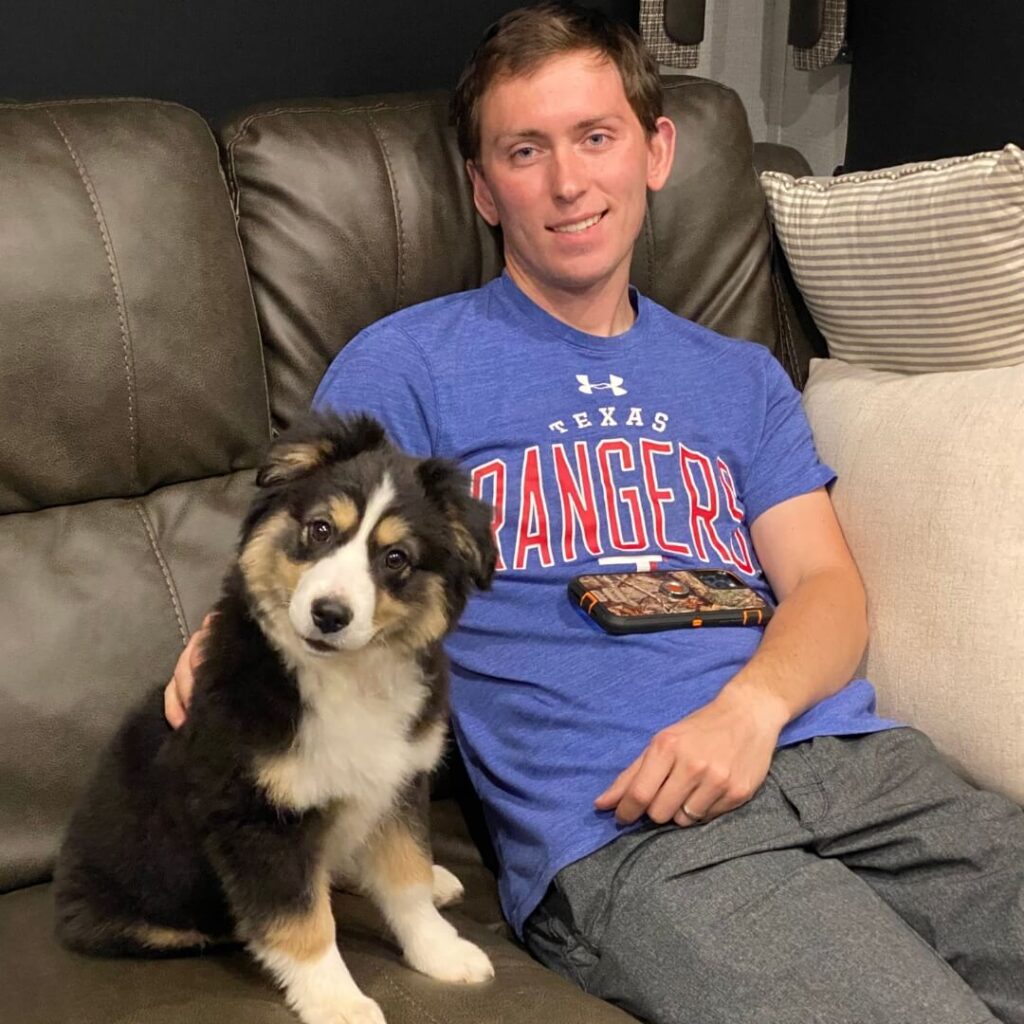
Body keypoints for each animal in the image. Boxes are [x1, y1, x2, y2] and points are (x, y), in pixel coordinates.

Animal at [55, 411, 499, 1024]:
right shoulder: (255, 818)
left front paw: (442, 952)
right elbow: (303, 922)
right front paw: (339, 1002)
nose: (330, 614)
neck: (343, 678)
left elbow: (405, 879)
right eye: (319, 530)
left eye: (396, 559)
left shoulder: (399, 782)